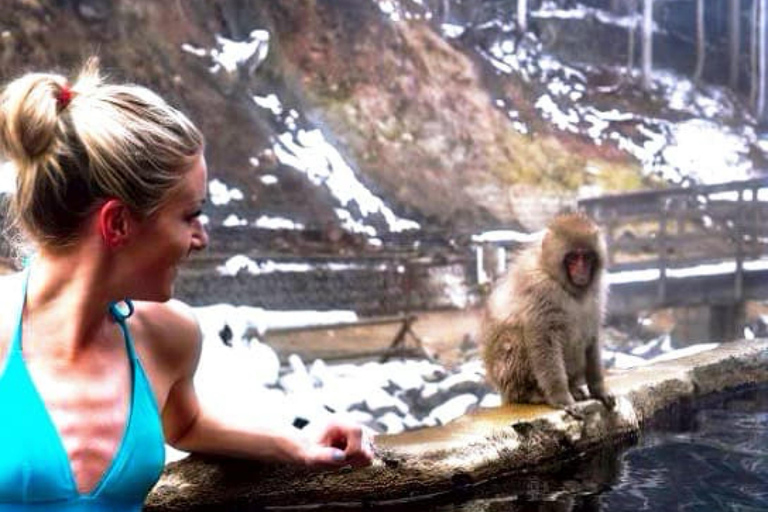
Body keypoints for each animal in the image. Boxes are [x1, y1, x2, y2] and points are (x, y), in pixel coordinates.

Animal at [480, 212, 615, 411]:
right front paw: (561, 397)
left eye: (587, 257)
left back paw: (573, 388)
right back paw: (532, 393)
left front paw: (599, 390)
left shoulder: (598, 288)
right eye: (573, 258)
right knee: (516, 338)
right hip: (505, 375)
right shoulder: (540, 289)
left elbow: (592, 336)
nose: (582, 270)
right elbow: (544, 338)